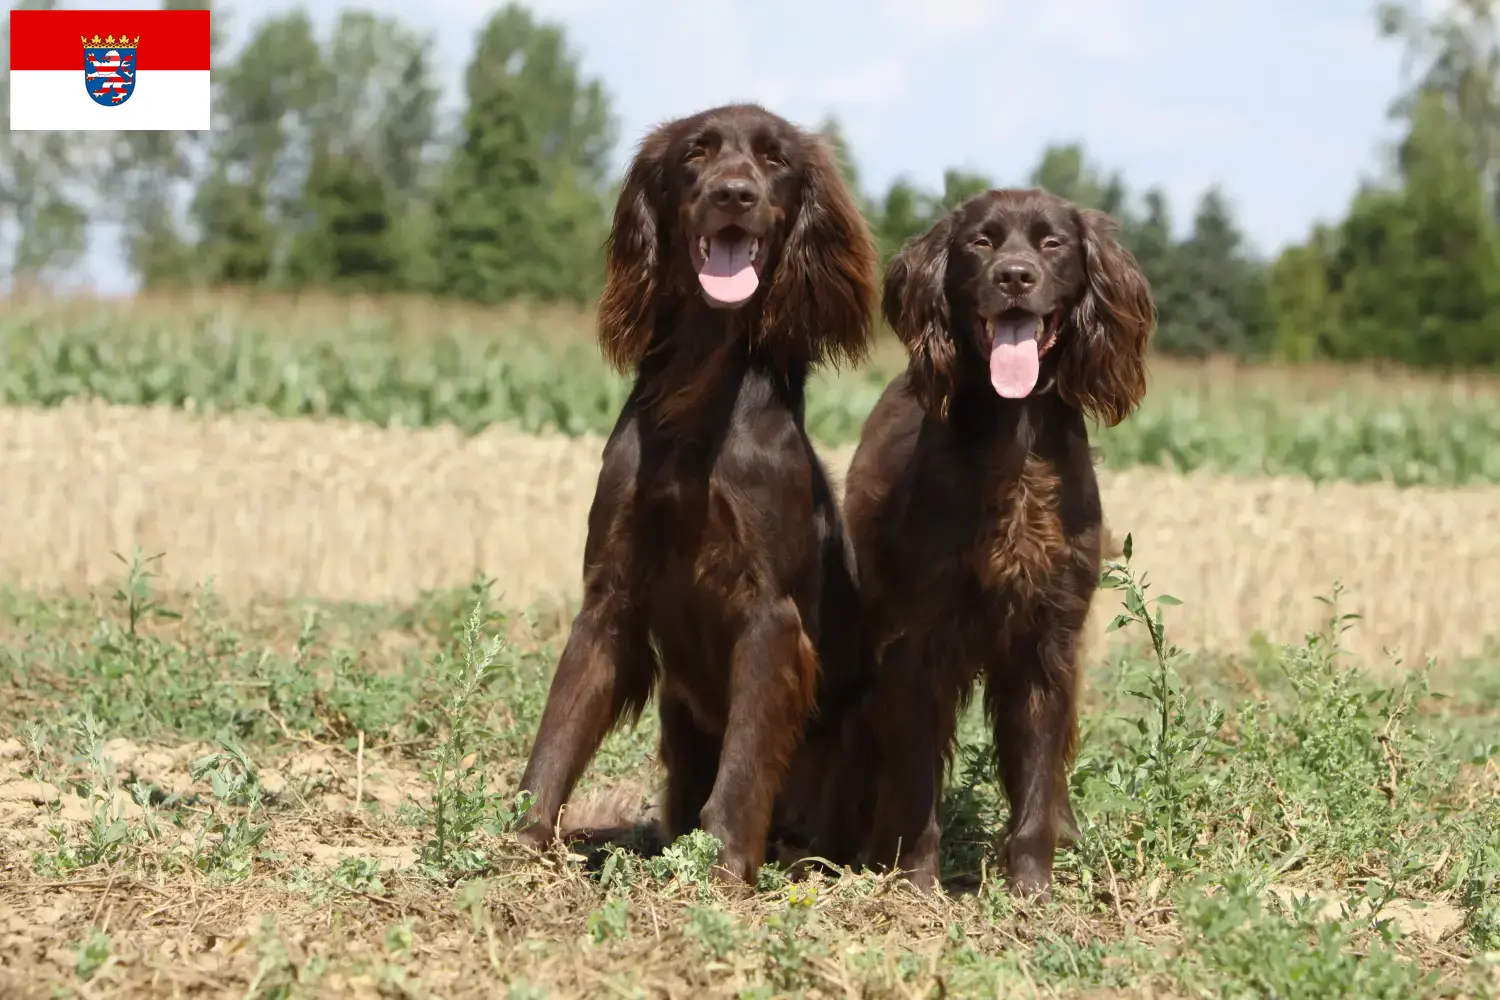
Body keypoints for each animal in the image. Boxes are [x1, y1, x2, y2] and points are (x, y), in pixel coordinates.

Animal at [519, 101, 876, 881]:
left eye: (775, 160)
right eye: (696, 153)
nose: (733, 194)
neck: (698, 396)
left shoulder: (769, 613)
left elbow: (746, 759)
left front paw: (724, 866)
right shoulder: (611, 591)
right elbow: (559, 730)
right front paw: (511, 840)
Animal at [846, 187, 1146, 899]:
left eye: (1052, 243)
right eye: (981, 242)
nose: (1014, 278)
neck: (1016, 442)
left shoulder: (1046, 640)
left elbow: (1037, 769)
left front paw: (1031, 885)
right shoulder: (921, 641)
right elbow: (917, 774)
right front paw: (917, 879)